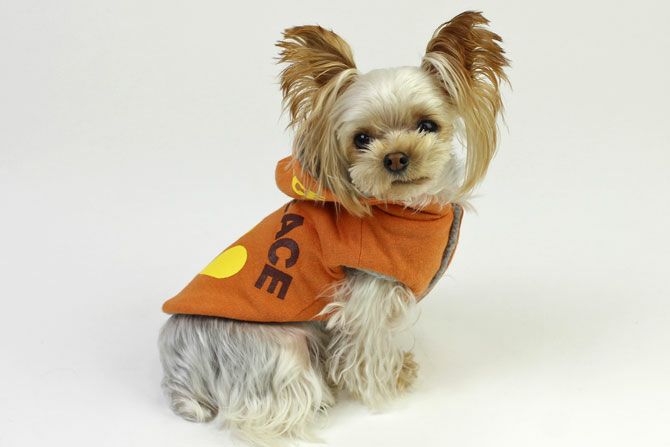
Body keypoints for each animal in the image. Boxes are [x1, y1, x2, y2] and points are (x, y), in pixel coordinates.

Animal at [158, 10, 508, 445]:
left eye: (427, 125)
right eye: (361, 138)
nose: (395, 158)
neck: (404, 207)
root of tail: (180, 375)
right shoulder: (367, 292)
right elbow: (367, 349)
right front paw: (390, 383)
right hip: (281, 345)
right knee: (264, 411)